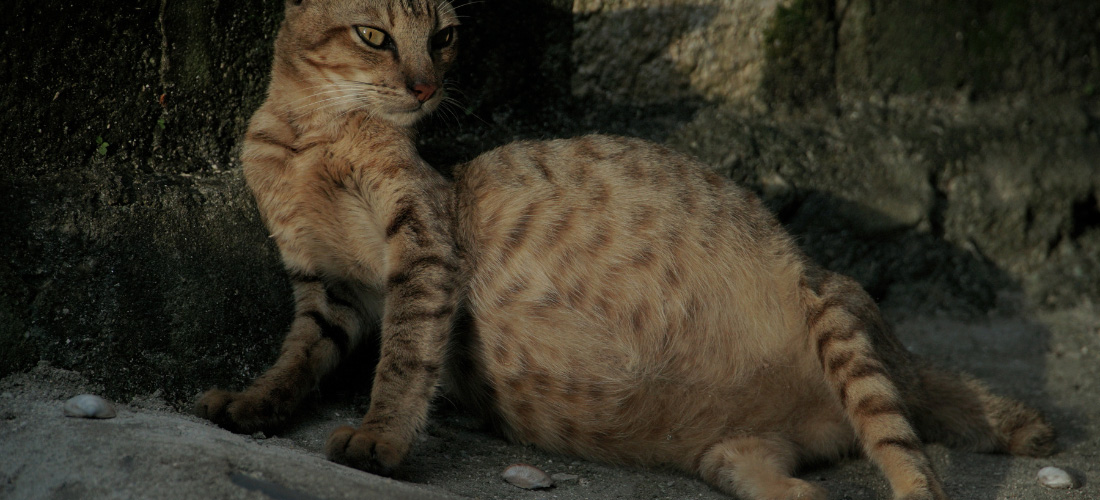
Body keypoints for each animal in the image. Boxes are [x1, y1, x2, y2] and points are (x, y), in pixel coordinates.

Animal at [193, 0, 1051, 500]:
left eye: (443, 38)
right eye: (375, 36)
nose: (426, 86)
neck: (309, 138)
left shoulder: (424, 242)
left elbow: (404, 357)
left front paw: (379, 438)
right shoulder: (326, 286)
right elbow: (298, 356)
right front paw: (253, 402)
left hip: (836, 316)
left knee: (915, 458)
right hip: (735, 457)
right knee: (814, 490)